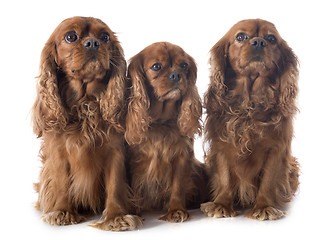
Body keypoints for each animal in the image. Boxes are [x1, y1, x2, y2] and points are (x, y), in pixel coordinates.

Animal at [33, 16, 142, 231]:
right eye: (70, 36)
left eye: (105, 37)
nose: (93, 43)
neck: (85, 103)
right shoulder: (58, 152)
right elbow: (61, 183)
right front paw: (62, 211)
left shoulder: (115, 151)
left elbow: (115, 185)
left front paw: (116, 217)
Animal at [125, 41, 206, 223]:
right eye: (156, 66)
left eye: (184, 65)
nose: (176, 75)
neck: (161, 122)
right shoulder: (133, 161)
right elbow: (133, 188)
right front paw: (133, 212)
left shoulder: (182, 156)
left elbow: (178, 186)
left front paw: (176, 210)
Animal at [201, 19, 300, 220]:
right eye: (241, 37)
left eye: (271, 39)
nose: (258, 42)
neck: (249, 104)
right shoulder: (221, 146)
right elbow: (224, 176)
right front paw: (221, 204)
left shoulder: (276, 148)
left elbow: (269, 180)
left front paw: (264, 207)